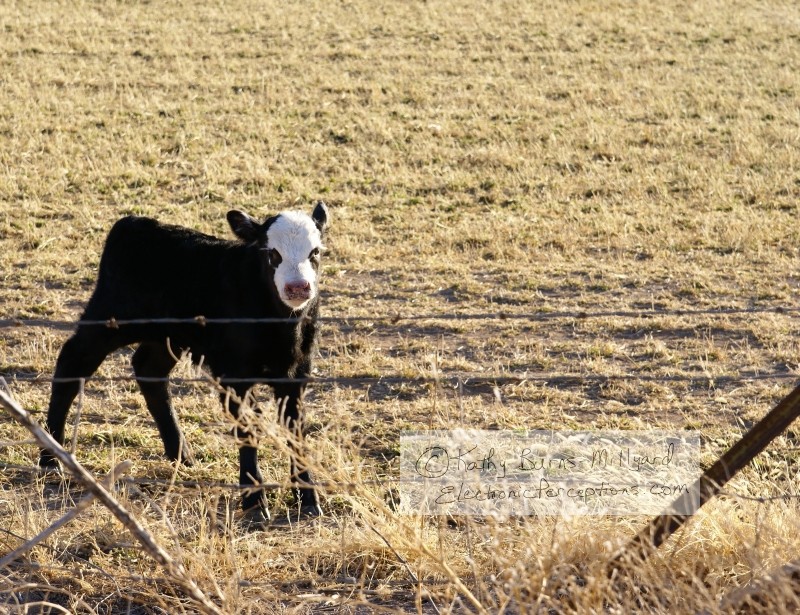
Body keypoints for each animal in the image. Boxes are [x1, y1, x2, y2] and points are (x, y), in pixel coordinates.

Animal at [39, 202, 329, 525]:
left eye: (315, 251)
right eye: (271, 252)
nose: (298, 287)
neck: (280, 327)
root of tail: (134, 223)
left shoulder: (296, 374)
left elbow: (295, 429)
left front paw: (308, 498)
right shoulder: (233, 375)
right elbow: (248, 429)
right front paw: (254, 501)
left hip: (167, 336)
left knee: (149, 370)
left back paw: (180, 453)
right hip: (110, 318)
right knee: (72, 361)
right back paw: (50, 458)